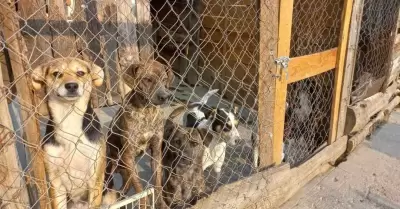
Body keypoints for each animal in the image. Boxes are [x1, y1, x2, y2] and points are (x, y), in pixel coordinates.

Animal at [102, 59, 173, 208]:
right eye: (147, 79)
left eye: (164, 79)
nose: (165, 96)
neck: (147, 111)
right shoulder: (128, 154)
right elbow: (140, 188)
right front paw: (144, 204)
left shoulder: (156, 152)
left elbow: (157, 183)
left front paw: (160, 203)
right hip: (113, 167)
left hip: (127, 171)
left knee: (124, 188)